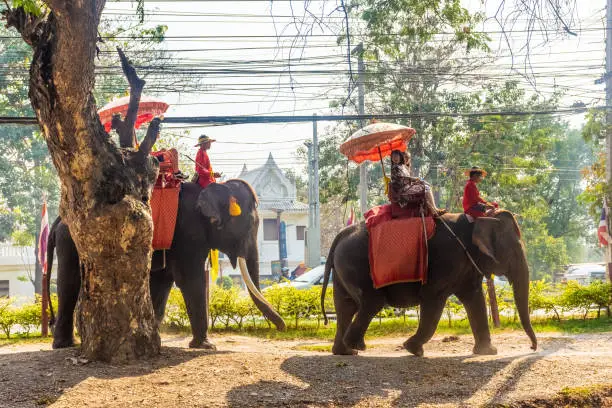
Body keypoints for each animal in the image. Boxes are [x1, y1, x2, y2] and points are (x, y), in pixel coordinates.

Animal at [46, 180, 286, 350]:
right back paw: (64, 345)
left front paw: (156, 336)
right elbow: (191, 280)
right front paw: (205, 346)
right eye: (251, 224)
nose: (282, 327)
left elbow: (163, 282)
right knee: (69, 282)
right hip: (72, 241)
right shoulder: (188, 234)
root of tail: (59, 219)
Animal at [320, 212, 536, 356]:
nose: (532, 347)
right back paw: (356, 346)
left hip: (342, 268)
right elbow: (434, 300)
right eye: (516, 250)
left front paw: (488, 352)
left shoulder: (466, 266)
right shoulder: (447, 260)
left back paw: (345, 351)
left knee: (345, 306)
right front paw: (414, 349)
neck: (477, 218)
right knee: (371, 303)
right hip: (356, 264)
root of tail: (342, 233)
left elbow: (475, 299)